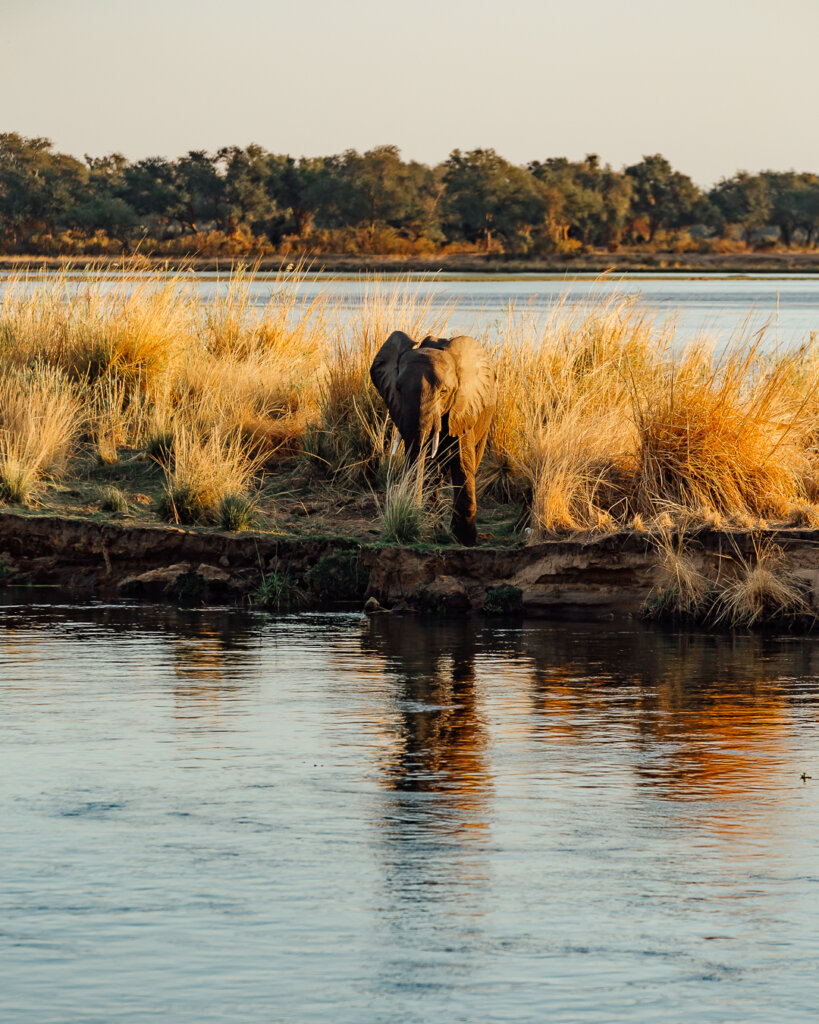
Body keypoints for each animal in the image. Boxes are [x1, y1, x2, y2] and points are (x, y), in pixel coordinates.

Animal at [370, 331, 497, 546]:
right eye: (398, 389)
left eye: (444, 391)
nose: (409, 519)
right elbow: (424, 461)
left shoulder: (463, 407)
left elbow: (462, 462)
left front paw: (465, 540)